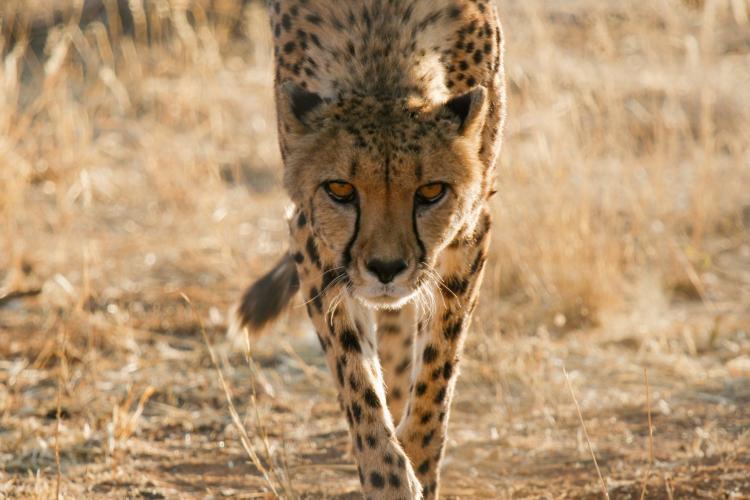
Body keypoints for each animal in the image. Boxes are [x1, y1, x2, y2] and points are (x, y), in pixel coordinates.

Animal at [233, 1, 506, 498]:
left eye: (431, 191)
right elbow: (354, 375)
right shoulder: (312, 237)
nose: (385, 268)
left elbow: (437, 372)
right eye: (340, 189)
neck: (382, 51)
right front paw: (389, 476)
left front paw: (419, 461)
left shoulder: (470, 230)